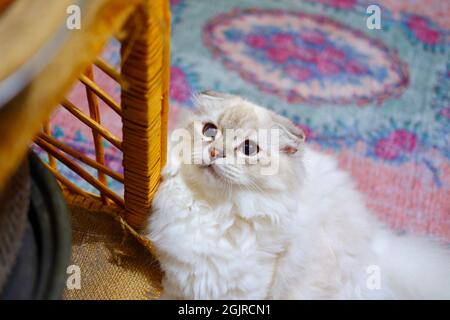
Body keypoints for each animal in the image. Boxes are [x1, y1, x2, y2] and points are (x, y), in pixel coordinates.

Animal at [146, 92, 448, 300]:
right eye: (210, 131)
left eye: (248, 149)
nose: (213, 152)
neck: (212, 211)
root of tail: (376, 243)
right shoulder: (176, 282)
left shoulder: (244, 290)